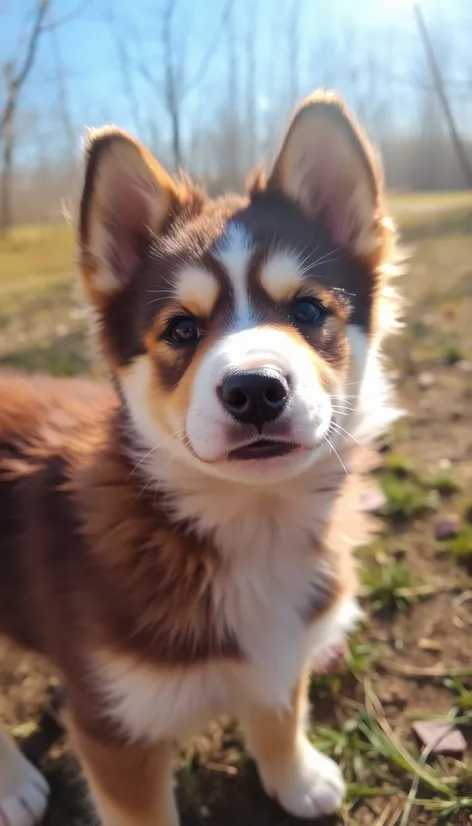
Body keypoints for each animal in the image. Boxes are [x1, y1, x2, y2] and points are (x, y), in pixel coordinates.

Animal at [0, 91, 398, 824]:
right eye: (181, 329)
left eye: (308, 310)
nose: (255, 390)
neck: (252, 523)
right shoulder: (114, 728)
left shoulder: (282, 647)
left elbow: (280, 707)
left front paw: (295, 776)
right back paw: (13, 782)